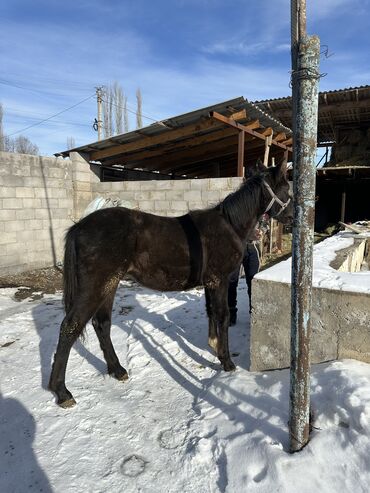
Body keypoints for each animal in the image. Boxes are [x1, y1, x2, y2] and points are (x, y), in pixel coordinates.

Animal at [48, 160, 292, 406]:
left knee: (102, 324)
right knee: (70, 326)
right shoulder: (219, 281)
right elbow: (222, 316)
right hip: (94, 286)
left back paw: (117, 370)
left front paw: (214, 346)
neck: (229, 226)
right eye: (287, 189)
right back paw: (62, 392)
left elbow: (211, 313)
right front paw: (226, 362)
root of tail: (79, 227)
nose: (292, 218)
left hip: (109, 284)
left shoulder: (210, 283)